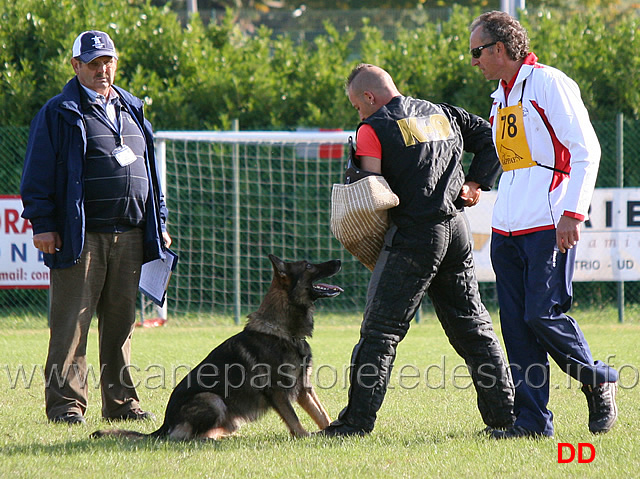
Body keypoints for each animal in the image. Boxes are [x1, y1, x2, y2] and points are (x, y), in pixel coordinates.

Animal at [90, 256, 342, 440]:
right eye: (309, 265)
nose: (338, 260)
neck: (284, 331)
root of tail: (164, 426)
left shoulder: (304, 389)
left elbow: (322, 414)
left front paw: (331, 431)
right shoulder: (278, 392)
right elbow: (295, 421)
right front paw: (306, 437)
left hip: (229, 416)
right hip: (213, 400)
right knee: (192, 437)